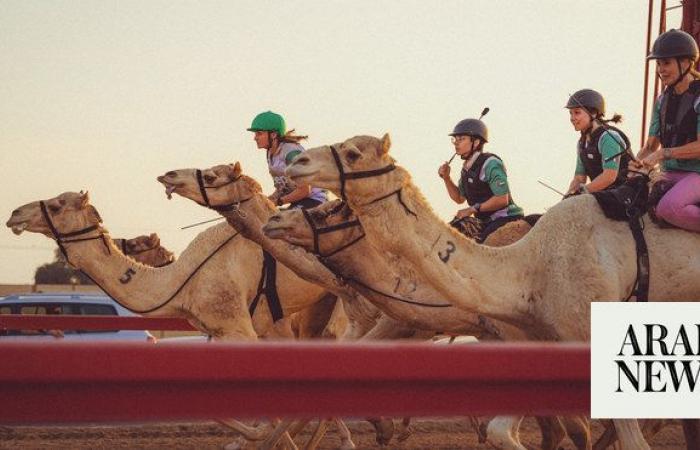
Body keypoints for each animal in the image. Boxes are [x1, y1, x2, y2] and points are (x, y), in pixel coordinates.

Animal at [5, 192, 356, 450]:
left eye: (56, 204)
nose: (15, 214)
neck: (184, 281)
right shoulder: (224, 331)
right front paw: (254, 439)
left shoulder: (239, 328)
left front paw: (261, 439)